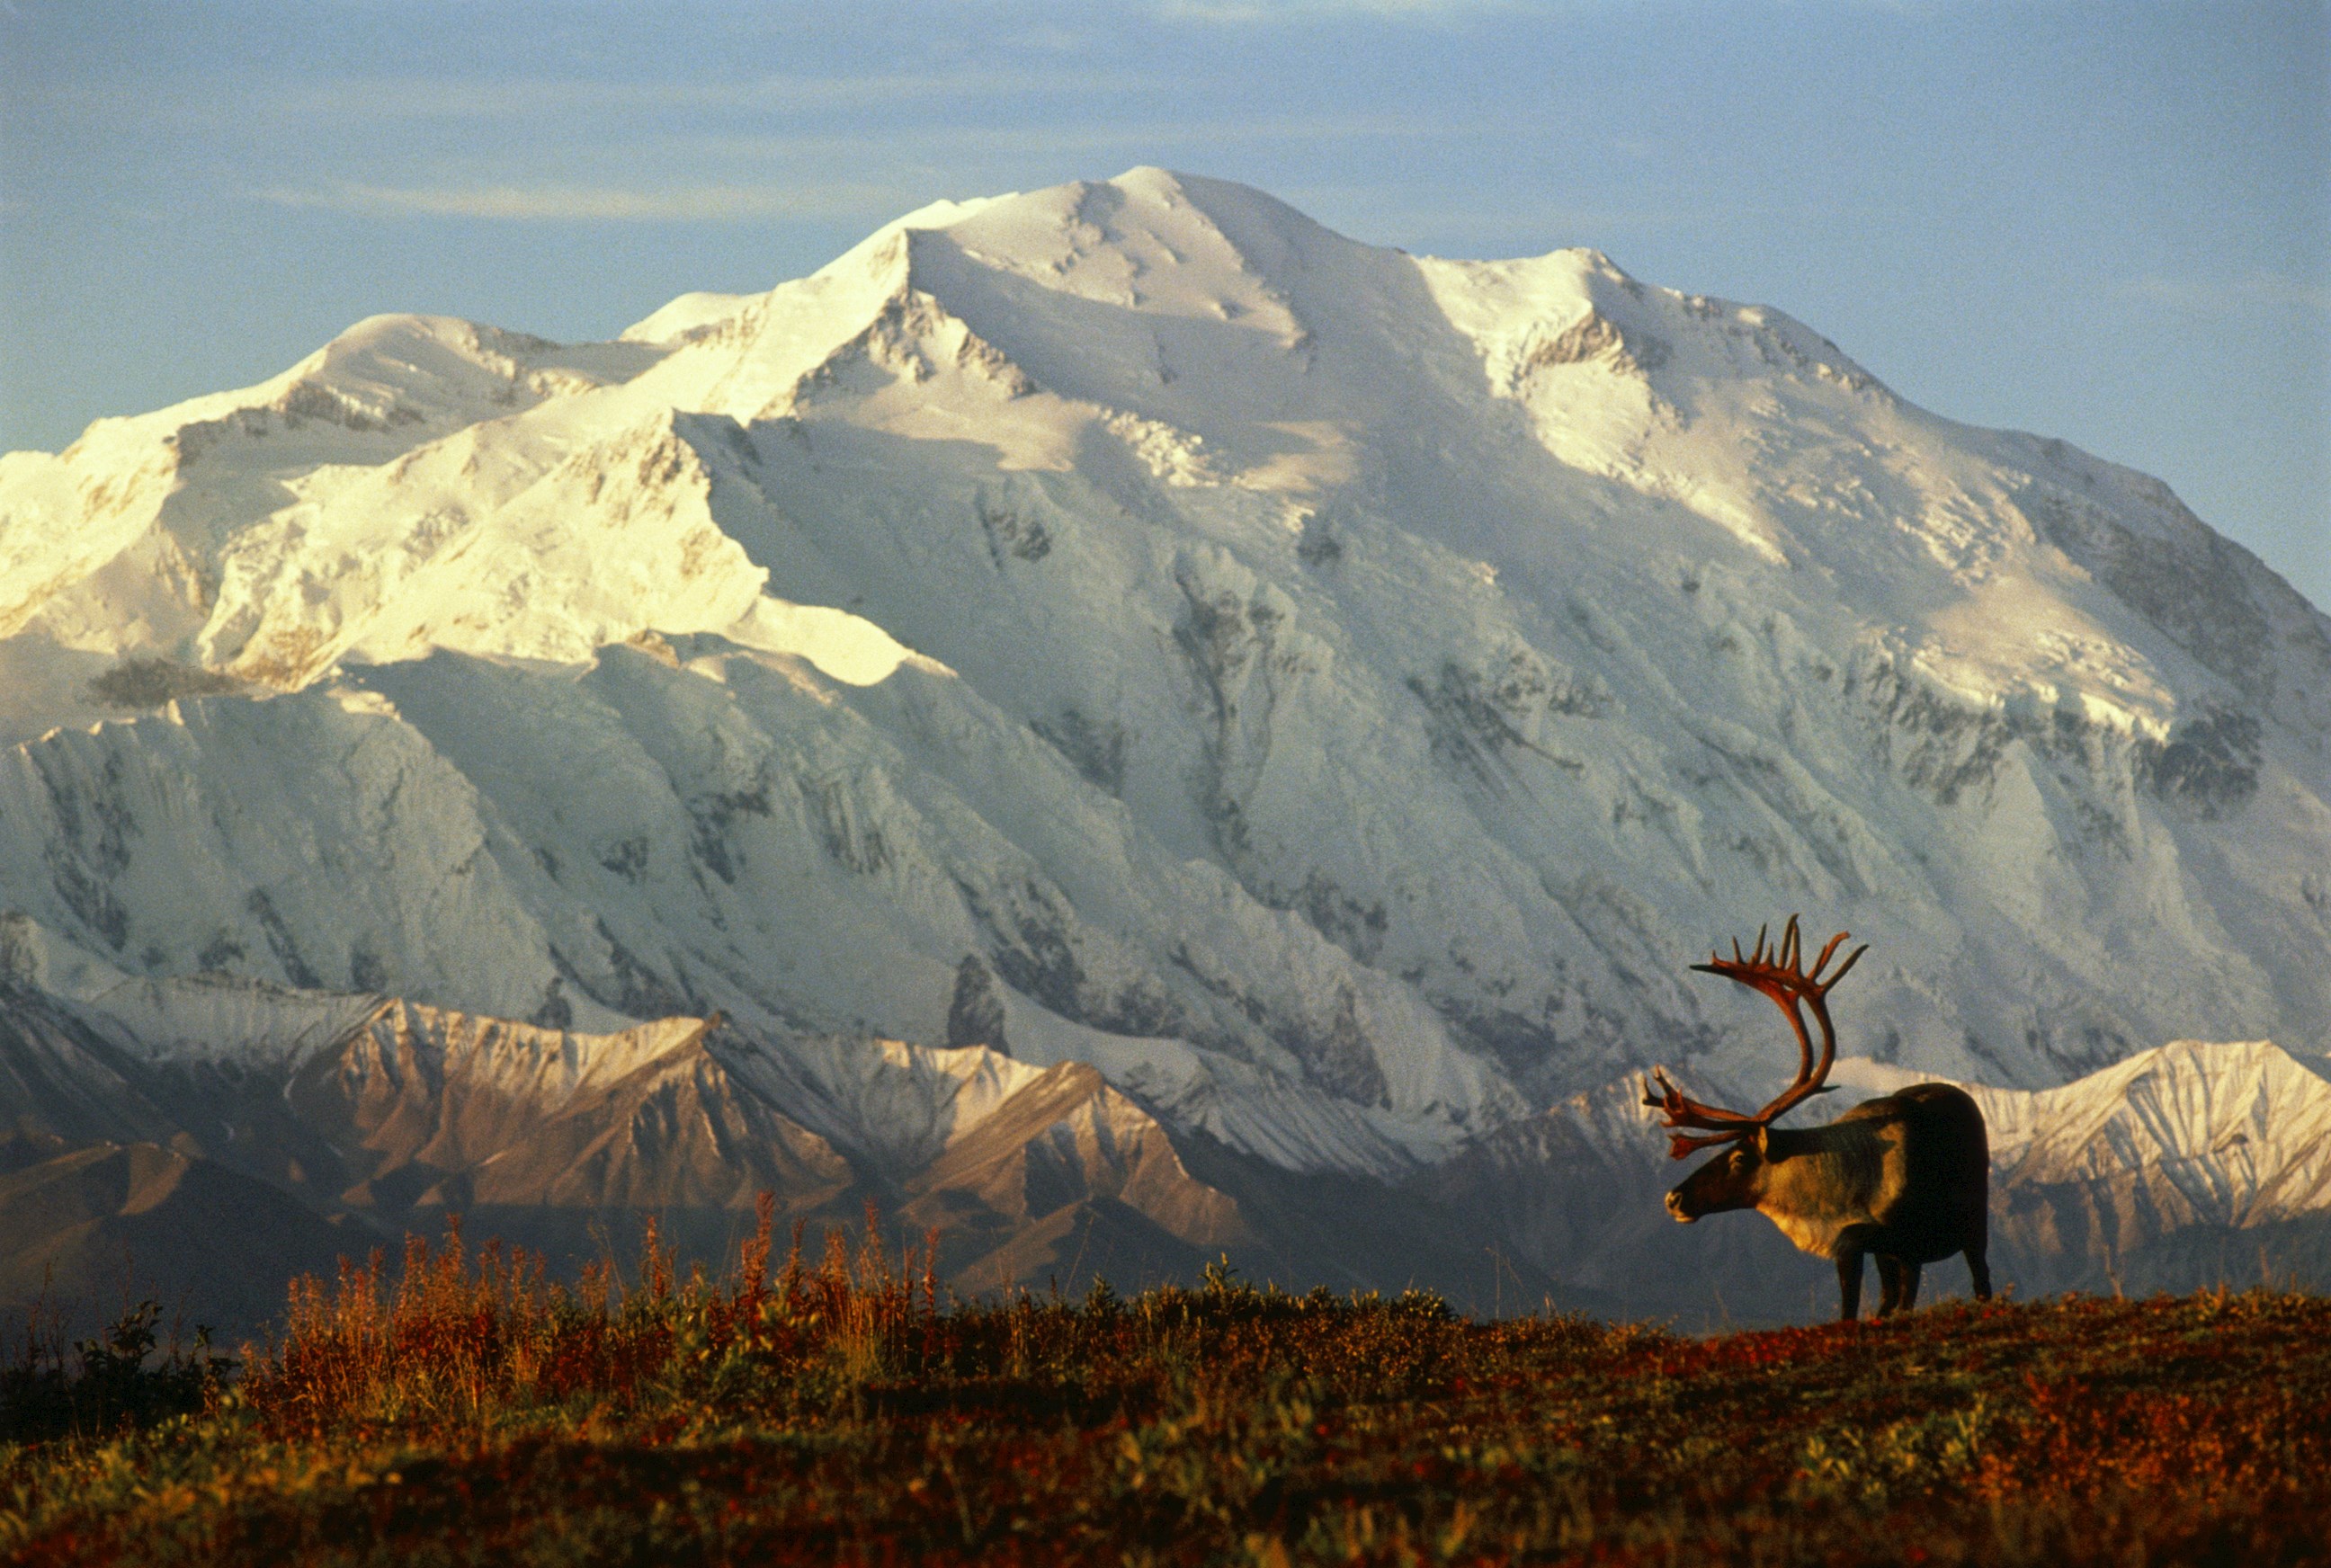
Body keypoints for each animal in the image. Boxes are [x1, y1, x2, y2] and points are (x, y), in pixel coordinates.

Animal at [1643, 916, 1992, 1321]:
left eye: (1740, 1157)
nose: (1673, 1198)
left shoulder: (1898, 1241)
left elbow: (1867, 1307)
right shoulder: (1862, 1247)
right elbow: (1869, 1308)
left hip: (1972, 1225)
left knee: (1981, 1280)